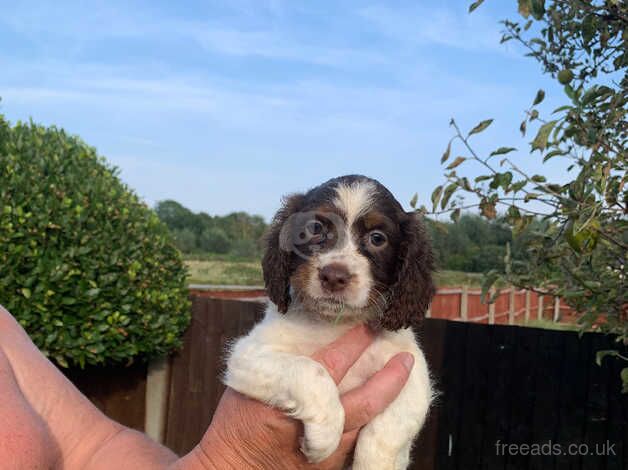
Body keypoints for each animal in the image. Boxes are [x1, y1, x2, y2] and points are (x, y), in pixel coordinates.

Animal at [223, 174, 434, 468]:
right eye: (314, 228)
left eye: (377, 238)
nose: (334, 276)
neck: (335, 323)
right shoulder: (247, 354)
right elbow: (309, 369)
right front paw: (325, 433)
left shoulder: (411, 371)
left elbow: (388, 431)